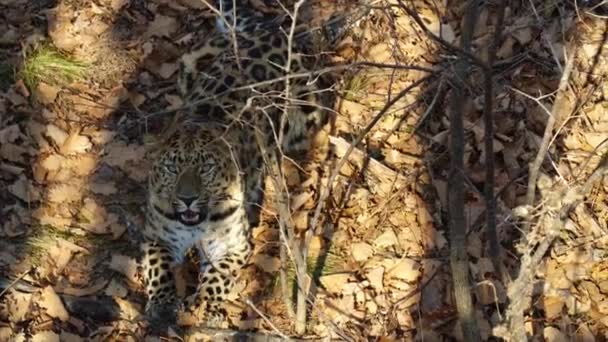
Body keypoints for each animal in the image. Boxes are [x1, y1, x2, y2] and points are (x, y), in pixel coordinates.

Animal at [137, 0, 346, 328]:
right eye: (172, 168)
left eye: (206, 168)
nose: (187, 199)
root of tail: (268, 30)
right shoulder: (155, 236)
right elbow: (160, 269)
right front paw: (162, 304)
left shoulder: (235, 245)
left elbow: (218, 276)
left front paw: (206, 308)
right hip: (191, 63)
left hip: (309, 111)